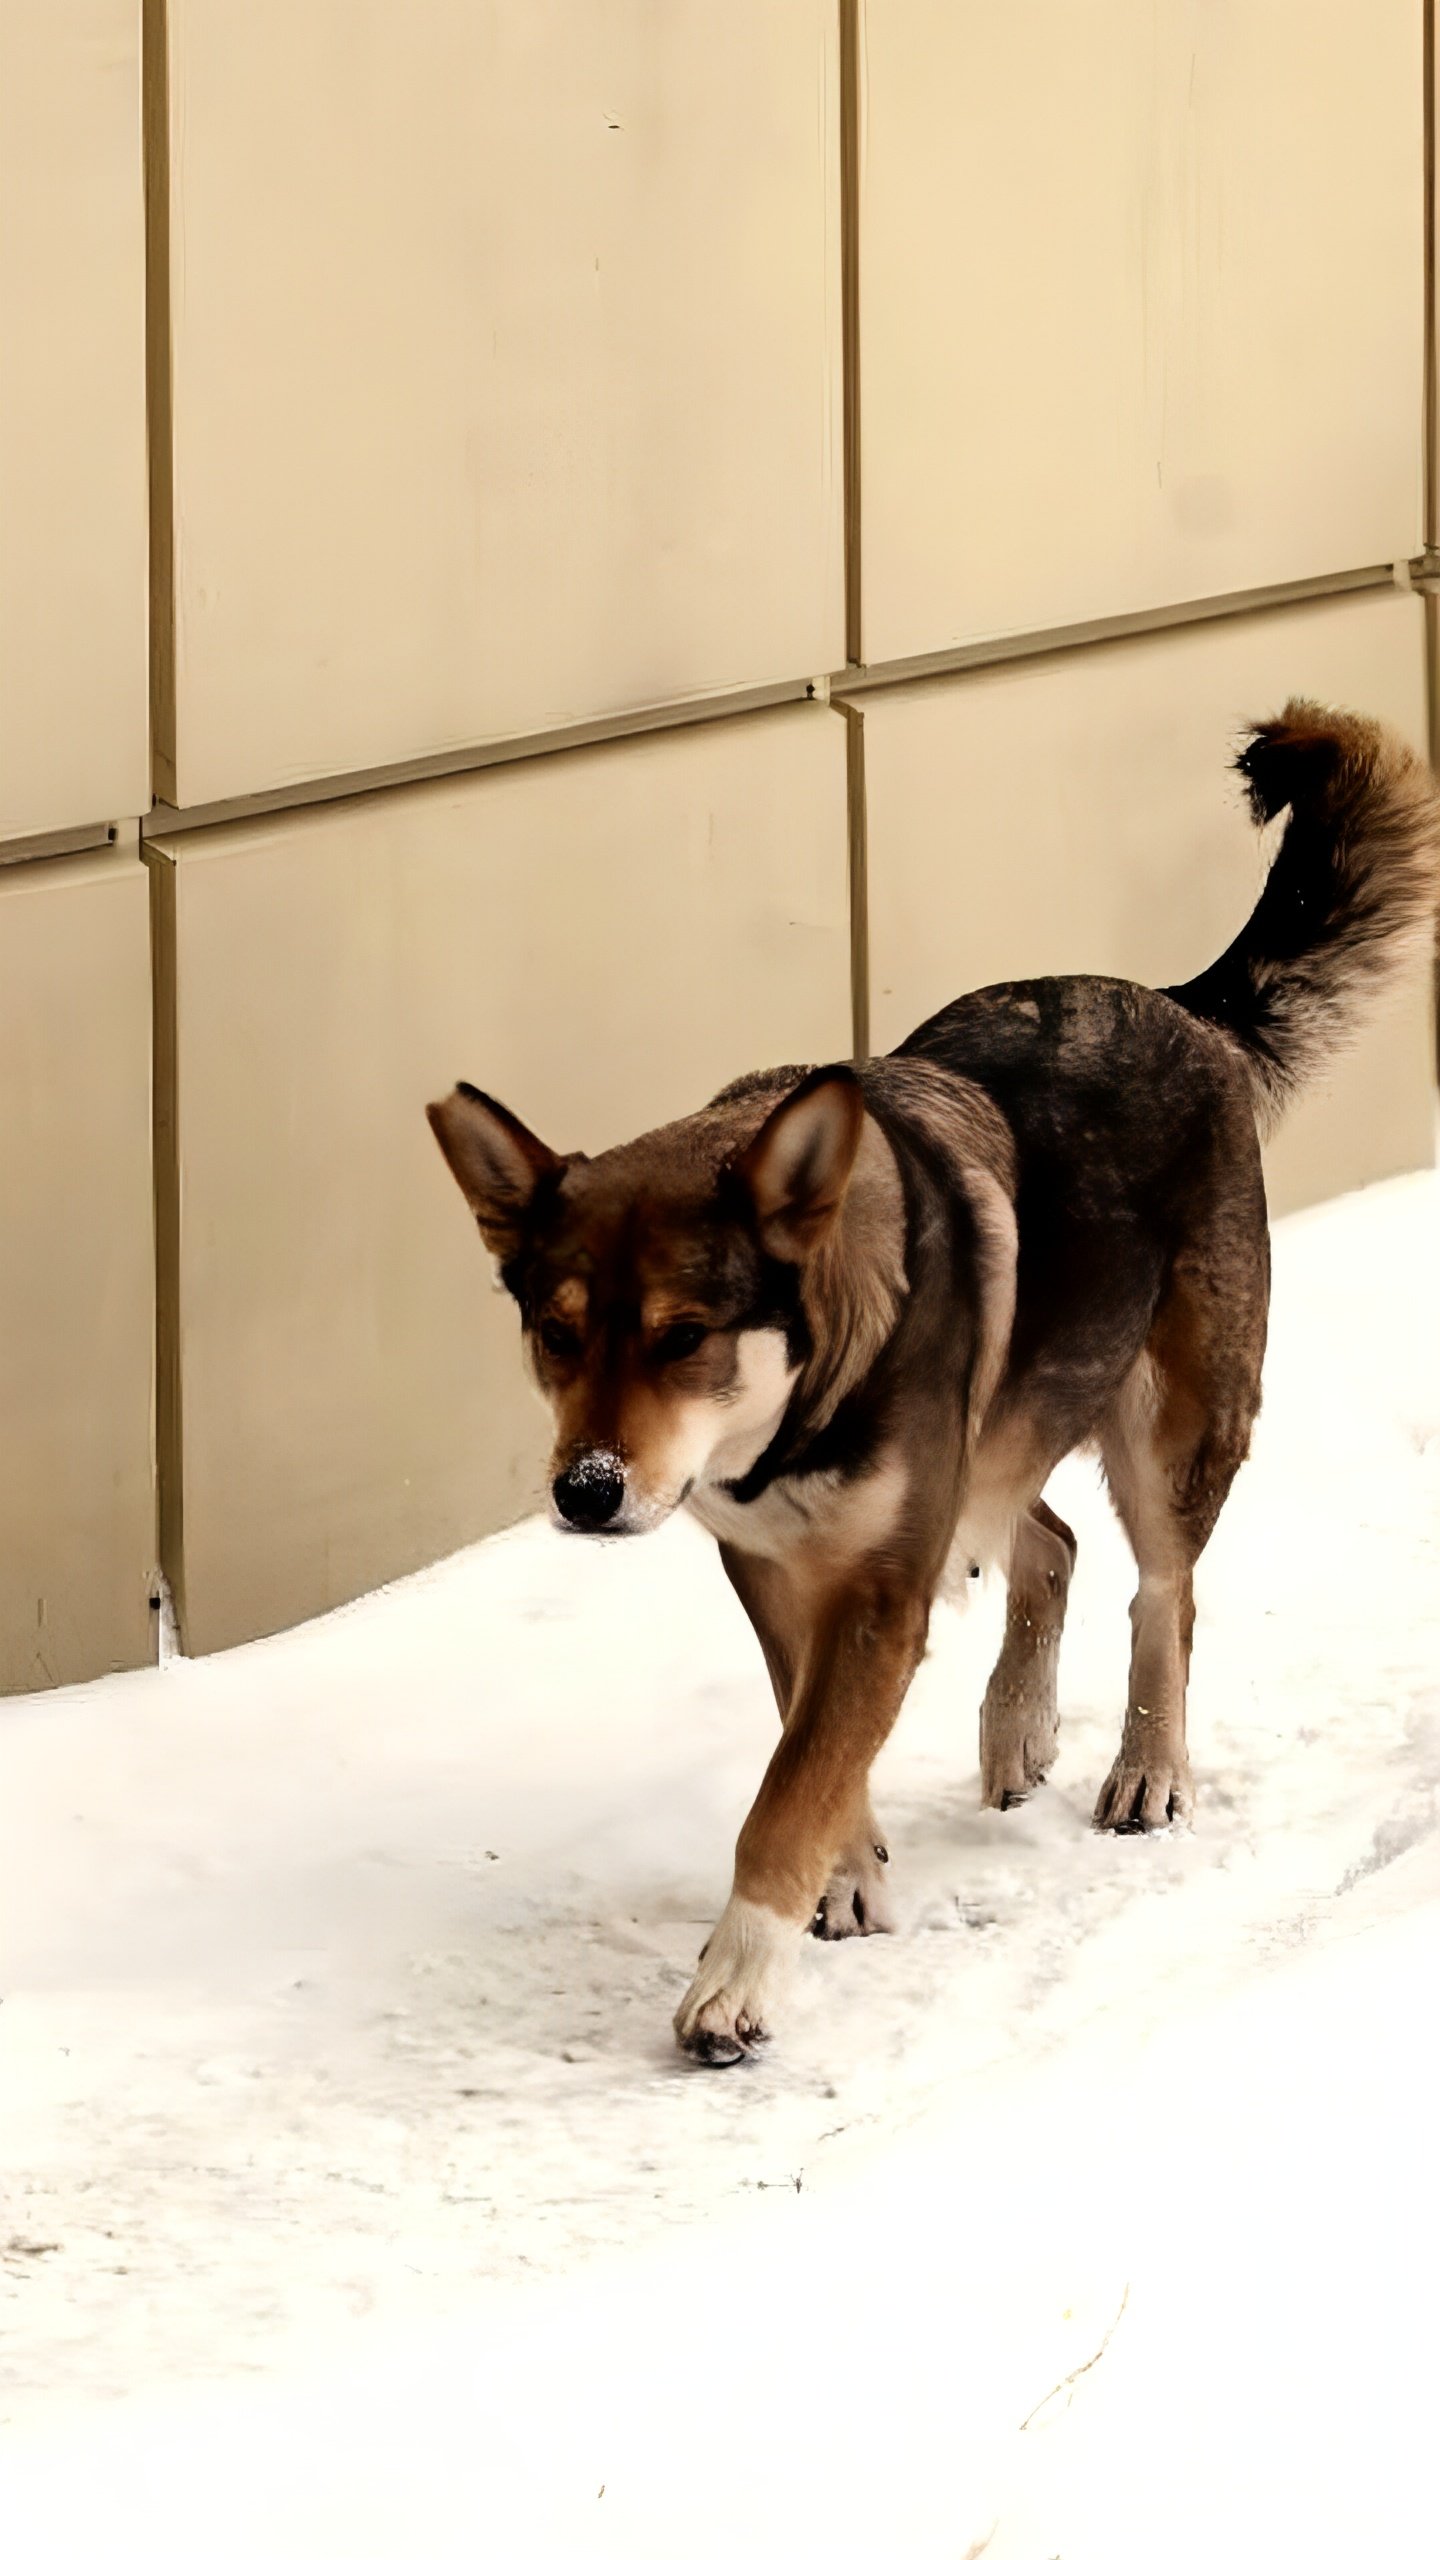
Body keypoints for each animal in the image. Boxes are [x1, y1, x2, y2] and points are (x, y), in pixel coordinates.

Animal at [425, 701, 1434, 2058]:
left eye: (686, 1334)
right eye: (556, 1330)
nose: (585, 1491)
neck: (798, 1419)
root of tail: (1179, 1007)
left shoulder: (879, 1585)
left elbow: (791, 1788)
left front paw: (737, 1978)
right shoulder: (778, 1571)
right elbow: (812, 1748)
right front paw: (848, 1877)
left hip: (1170, 1423)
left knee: (1162, 1594)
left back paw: (1147, 1767)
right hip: (1003, 1442)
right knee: (1053, 1540)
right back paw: (1017, 1726)